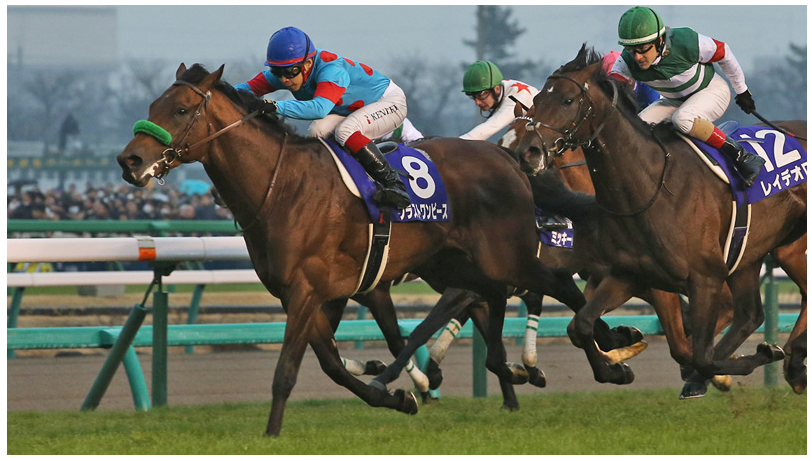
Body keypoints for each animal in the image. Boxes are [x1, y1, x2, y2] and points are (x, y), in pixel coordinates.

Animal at [117, 63, 589, 436]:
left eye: (181, 110)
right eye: (152, 106)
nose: (129, 161)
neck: (283, 185)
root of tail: (508, 160)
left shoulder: (313, 289)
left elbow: (290, 369)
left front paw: (271, 433)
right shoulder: (306, 293)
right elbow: (333, 364)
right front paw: (398, 395)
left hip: (504, 256)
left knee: (538, 289)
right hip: (460, 265)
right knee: (489, 300)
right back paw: (514, 370)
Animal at [513, 45, 806, 394]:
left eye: (568, 100)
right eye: (537, 99)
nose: (527, 153)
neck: (650, 189)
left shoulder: (705, 278)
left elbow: (700, 355)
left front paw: (756, 357)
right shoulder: (632, 275)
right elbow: (582, 325)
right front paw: (616, 368)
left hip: (790, 249)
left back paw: (793, 358)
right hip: (748, 255)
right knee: (750, 315)